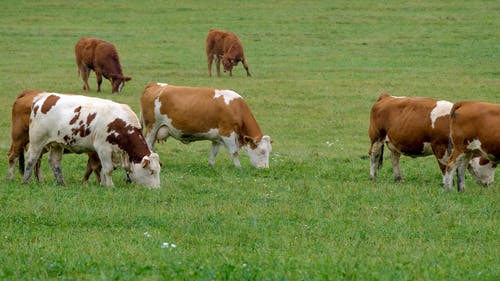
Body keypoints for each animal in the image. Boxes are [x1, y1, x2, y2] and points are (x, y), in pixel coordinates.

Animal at [23, 93, 160, 187]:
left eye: (159, 170)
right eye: (151, 171)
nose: (156, 189)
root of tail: (44, 97)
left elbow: (105, 169)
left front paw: (103, 184)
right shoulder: (103, 148)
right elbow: (108, 169)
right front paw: (110, 186)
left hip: (57, 144)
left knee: (55, 162)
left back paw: (61, 183)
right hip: (37, 141)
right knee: (31, 159)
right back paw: (25, 181)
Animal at [139, 82, 272, 167]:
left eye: (269, 151)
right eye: (262, 151)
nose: (265, 168)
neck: (235, 108)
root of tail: (154, 85)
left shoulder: (217, 137)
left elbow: (214, 152)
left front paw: (210, 166)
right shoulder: (227, 133)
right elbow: (234, 152)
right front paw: (238, 167)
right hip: (152, 127)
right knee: (148, 144)